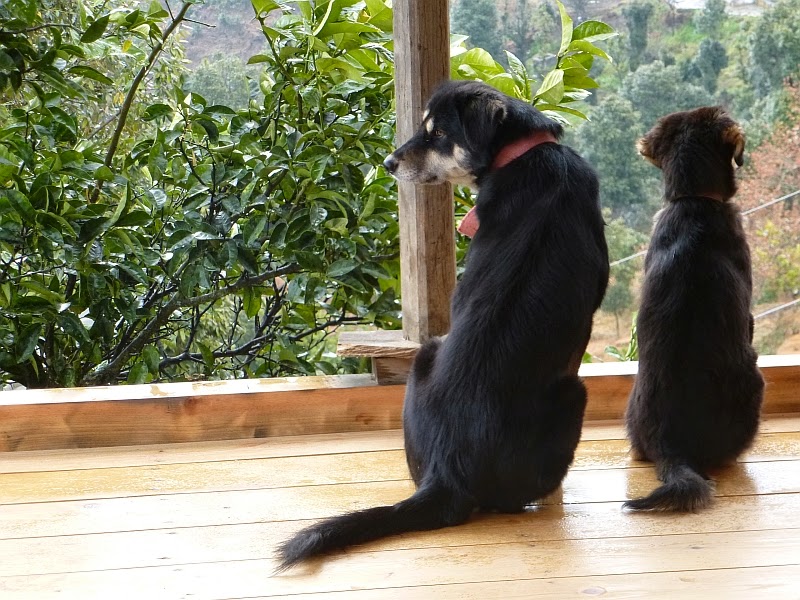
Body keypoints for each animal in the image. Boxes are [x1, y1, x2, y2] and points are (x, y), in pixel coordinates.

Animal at [276, 80, 609, 569]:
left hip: (426, 357)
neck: (525, 153)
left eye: (437, 135)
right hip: (573, 394)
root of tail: (447, 472)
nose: (388, 163)